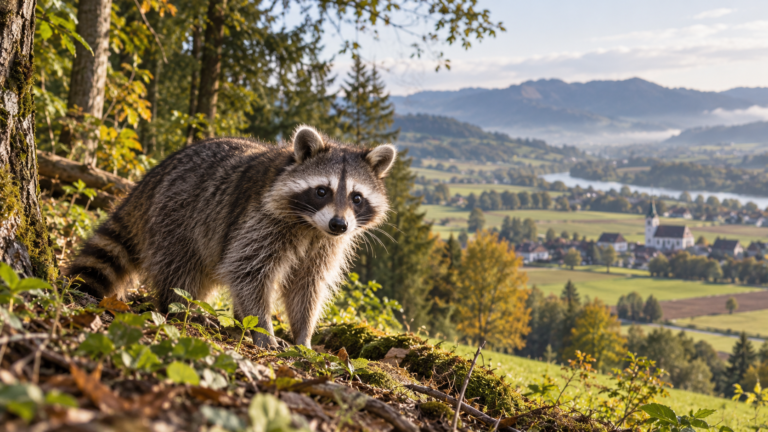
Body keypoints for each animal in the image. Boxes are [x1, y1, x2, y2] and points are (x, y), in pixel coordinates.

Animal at [66, 126, 396, 348]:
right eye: (322, 191)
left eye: (356, 198)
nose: (339, 224)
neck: (310, 226)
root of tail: (151, 179)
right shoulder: (261, 218)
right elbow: (249, 271)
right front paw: (264, 329)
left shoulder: (325, 244)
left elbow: (307, 284)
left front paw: (303, 334)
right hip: (177, 215)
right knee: (180, 269)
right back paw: (182, 307)